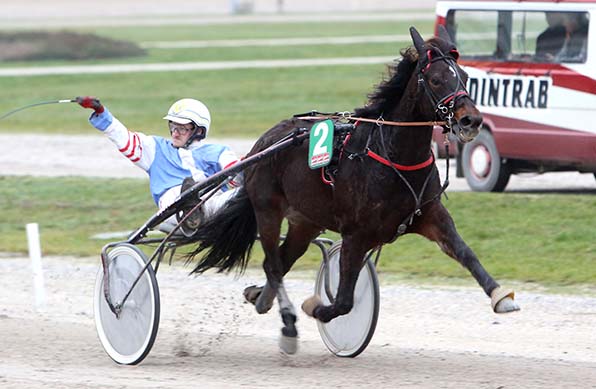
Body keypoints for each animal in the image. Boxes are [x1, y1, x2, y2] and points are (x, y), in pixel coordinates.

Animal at [187, 26, 520, 354]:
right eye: (437, 79)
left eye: (463, 76)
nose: (471, 120)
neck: (393, 155)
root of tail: (265, 142)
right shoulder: (356, 234)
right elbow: (344, 300)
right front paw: (315, 307)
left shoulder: (430, 214)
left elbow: (465, 252)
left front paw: (500, 296)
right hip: (267, 209)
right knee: (273, 263)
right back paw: (288, 321)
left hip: (306, 221)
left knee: (283, 259)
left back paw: (260, 296)